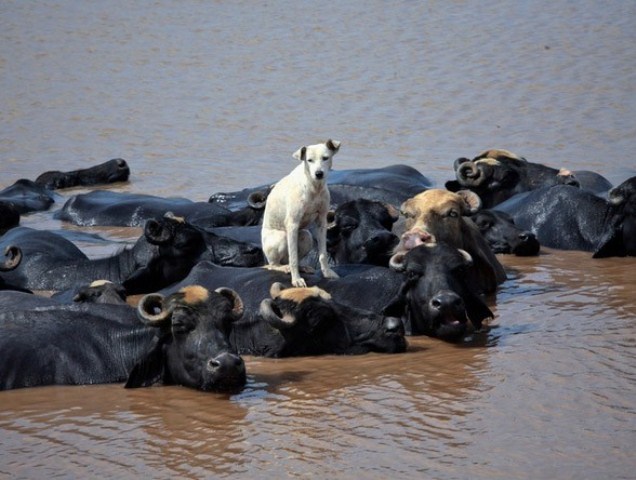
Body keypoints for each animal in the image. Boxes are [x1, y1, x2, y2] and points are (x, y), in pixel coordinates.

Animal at [260, 141, 340, 286]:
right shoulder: (292, 224)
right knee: (274, 265)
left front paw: (327, 273)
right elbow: (293, 259)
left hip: (306, 236)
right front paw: (296, 280)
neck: (314, 186)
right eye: (309, 160)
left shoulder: (322, 221)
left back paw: (303, 267)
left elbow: (323, 254)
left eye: (325, 158)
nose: (319, 173)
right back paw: (284, 268)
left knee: (291, 258)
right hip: (282, 237)